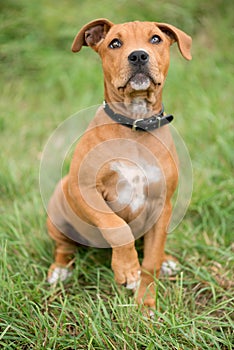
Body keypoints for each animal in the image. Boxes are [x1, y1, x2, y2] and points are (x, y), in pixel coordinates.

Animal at [46, 19, 192, 308]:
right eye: (115, 43)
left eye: (155, 39)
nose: (138, 56)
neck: (135, 123)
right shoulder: (84, 190)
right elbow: (117, 227)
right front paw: (127, 269)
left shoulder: (162, 204)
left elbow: (151, 259)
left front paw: (146, 304)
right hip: (57, 211)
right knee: (64, 247)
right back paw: (60, 270)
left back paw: (167, 261)